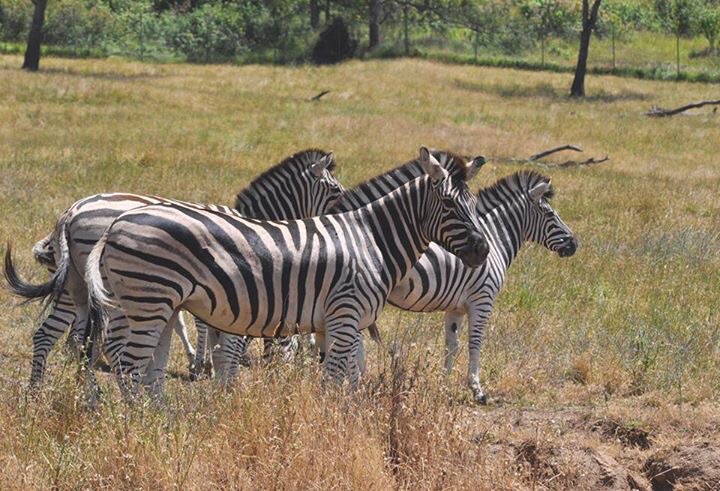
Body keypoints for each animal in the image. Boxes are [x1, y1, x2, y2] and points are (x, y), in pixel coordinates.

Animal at [3, 149, 342, 388]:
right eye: (337, 191)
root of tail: (71, 212)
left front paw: (207, 363)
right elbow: (211, 327)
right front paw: (206, 366)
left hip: (77, 285)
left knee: (54, 335)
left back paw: (45, 391)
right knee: (75, 337)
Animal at [386, 170, 578, 403]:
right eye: (549, 214)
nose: (574, 244)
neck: (494, 240)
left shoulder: (456, 308)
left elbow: (451, 346)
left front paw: (443, 383)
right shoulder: (483, 300)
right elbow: (475, 343)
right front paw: (477, 389)